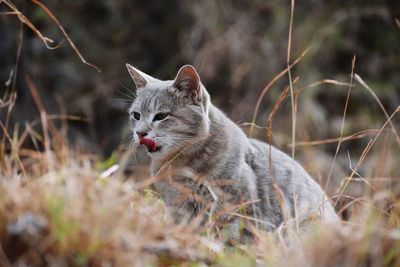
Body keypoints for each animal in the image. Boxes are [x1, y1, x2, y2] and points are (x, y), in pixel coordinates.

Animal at [126, 63, 340, 231]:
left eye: (161, 116)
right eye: (136, 115)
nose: (140, 133)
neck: (179, 165)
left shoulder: (236, 211)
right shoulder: (179, 210)